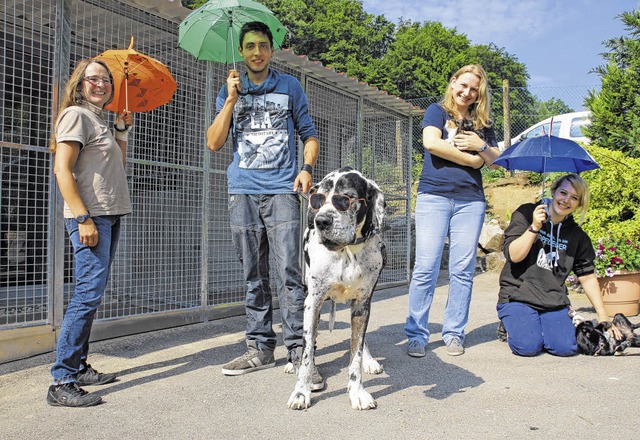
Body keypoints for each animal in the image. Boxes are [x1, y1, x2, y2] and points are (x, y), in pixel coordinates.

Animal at [288, 167, 384, 410]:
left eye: (346, 198)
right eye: (318, 199)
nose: (321, 221)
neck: (347, 252)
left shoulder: (362, 305)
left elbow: (356, 353)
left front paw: (357, 392)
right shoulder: (312, 304)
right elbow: (306, 353)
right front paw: (301, 392)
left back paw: (370, 360)